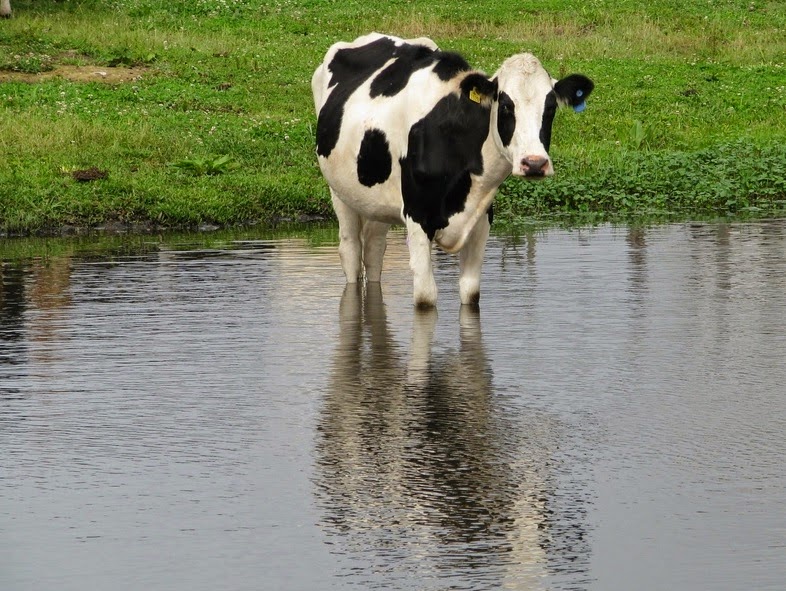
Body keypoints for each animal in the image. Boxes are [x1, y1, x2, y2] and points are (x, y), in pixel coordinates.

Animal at [310, 33, 592, 310]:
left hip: (375, 200)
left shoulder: (481, 220)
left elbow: (471, 294)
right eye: (505, 106)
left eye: (551, 108)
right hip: (341, 192)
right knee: (351, 251)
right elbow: (425, 298)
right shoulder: (417, 216)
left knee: (374, 249)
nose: (534, 163)